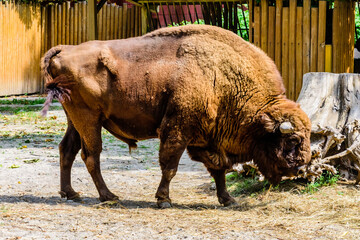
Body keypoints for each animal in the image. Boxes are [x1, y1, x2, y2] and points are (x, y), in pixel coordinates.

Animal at [41, 24, 312, 208]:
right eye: (293, 139)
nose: (300, 167)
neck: (223, 78)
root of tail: (64, 50)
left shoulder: (207, 139)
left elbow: (219, 169)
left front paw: (227, 199)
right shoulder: (178, 131)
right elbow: (170, 166)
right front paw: (163, 199)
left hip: (75, 120)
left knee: (67, 150)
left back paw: (70, 193)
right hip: (89, 120)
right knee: (91, 155)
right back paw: (109, 196)